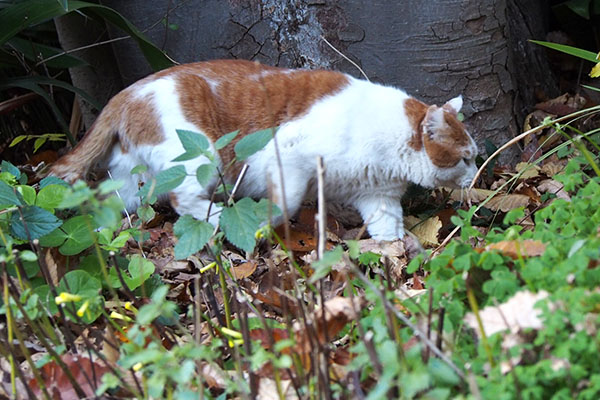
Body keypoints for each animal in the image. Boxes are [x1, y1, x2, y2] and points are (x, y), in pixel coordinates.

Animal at [49, 58, 476, 241]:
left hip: (128, 183)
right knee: (184, 200)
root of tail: (123, 94)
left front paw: (396, 258)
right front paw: (261, 221)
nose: (477, 175)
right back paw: (220, 219)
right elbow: (284, 203)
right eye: (466, 158)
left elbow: (389, 230)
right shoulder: (286, 154)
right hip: (200, 155)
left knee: (107, 204)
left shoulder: (378, 195)